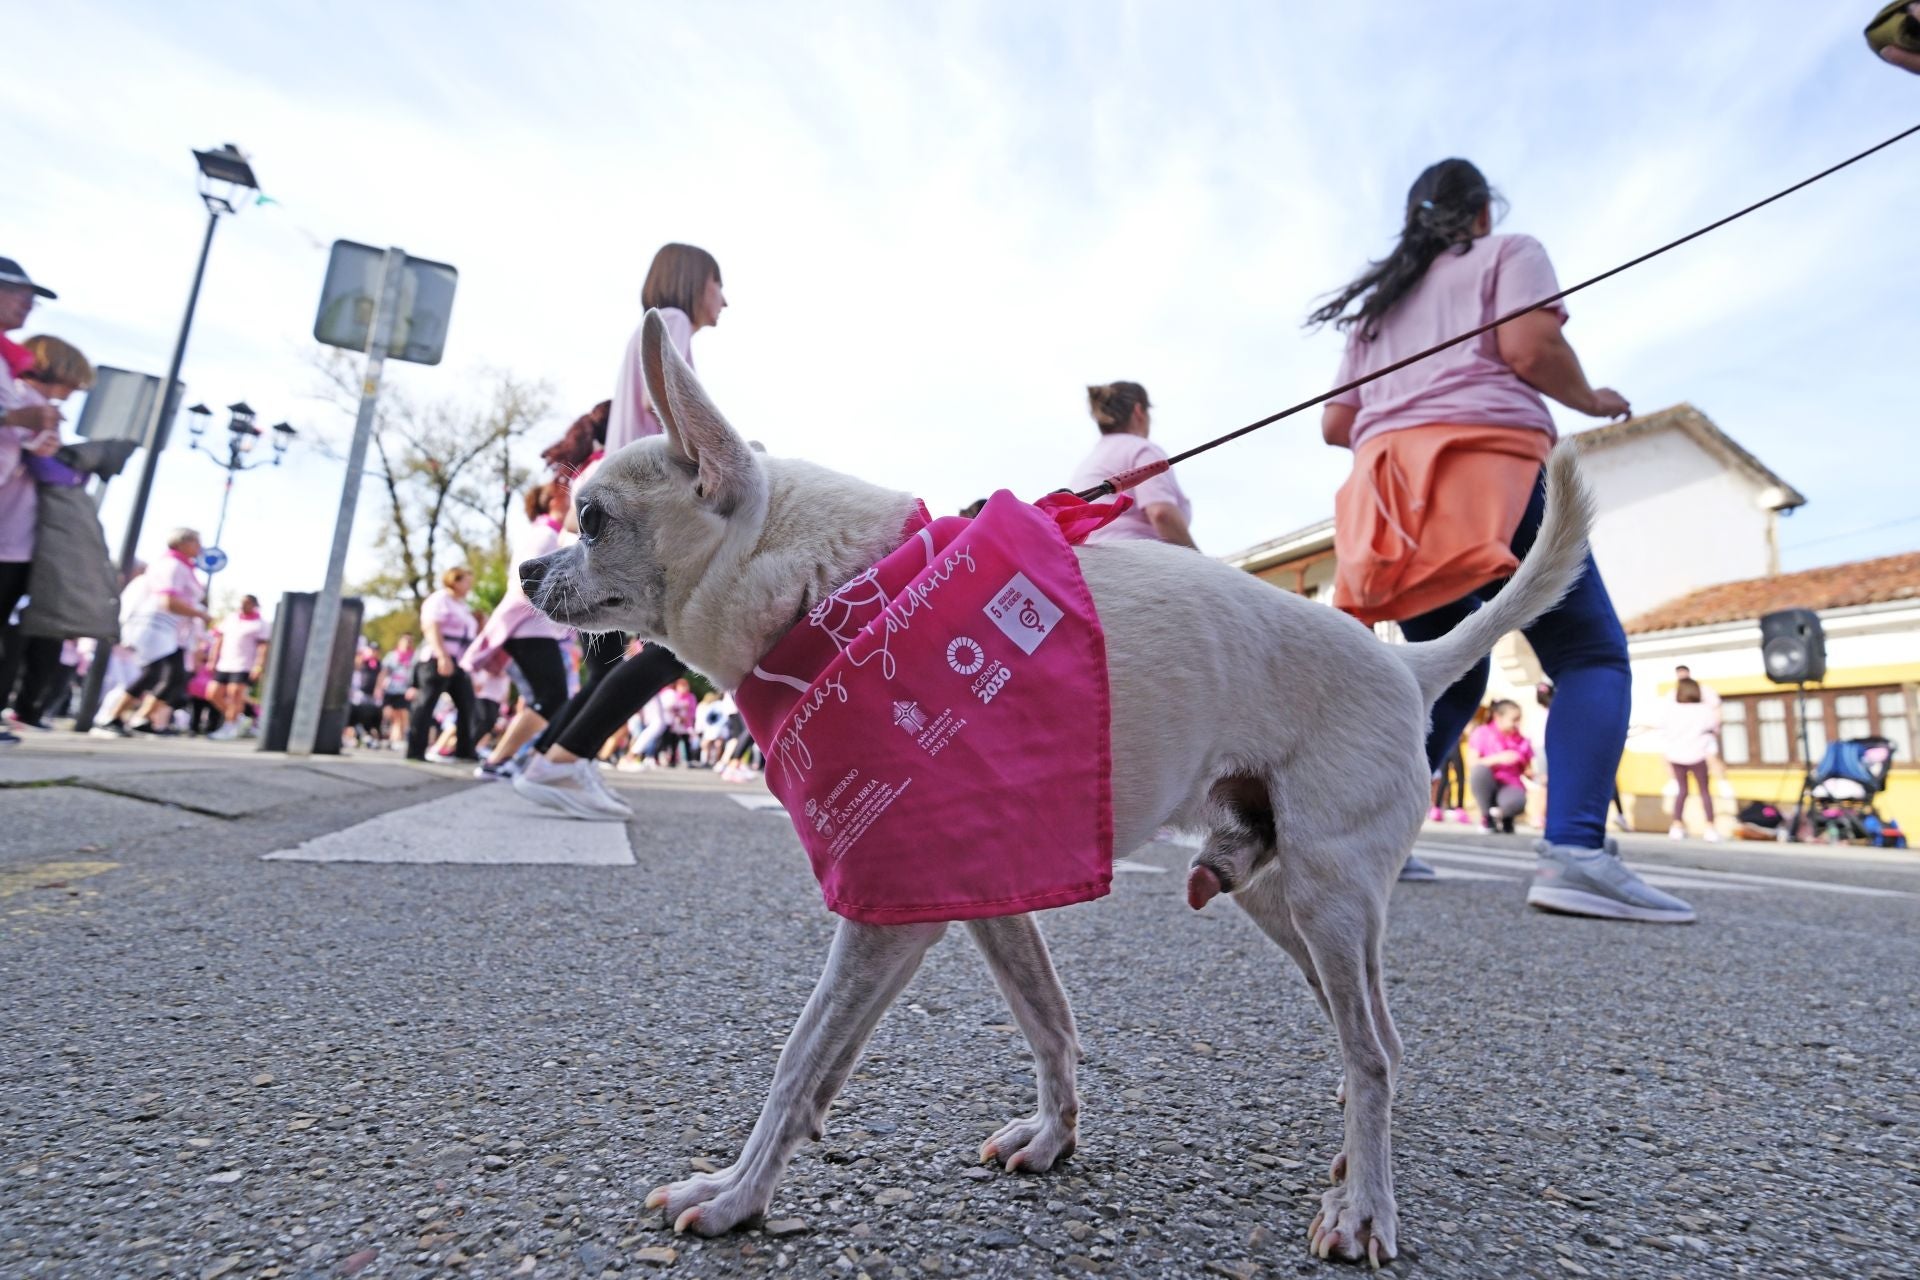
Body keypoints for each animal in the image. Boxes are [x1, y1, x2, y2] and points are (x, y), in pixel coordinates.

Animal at [526, 312, 1589, 1274]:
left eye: (591, 519)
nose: (529, 567)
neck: (840, 595)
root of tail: (1408, 668)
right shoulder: (984, 896)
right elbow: (1048, 1023)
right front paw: (1055, 1137)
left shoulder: (884, 918)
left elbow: (800, 1063)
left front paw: (739, 1194)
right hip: (1279, 898)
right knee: (1374, 1033)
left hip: (1326, 899)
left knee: (1371, 1049)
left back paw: (1364, 1203)